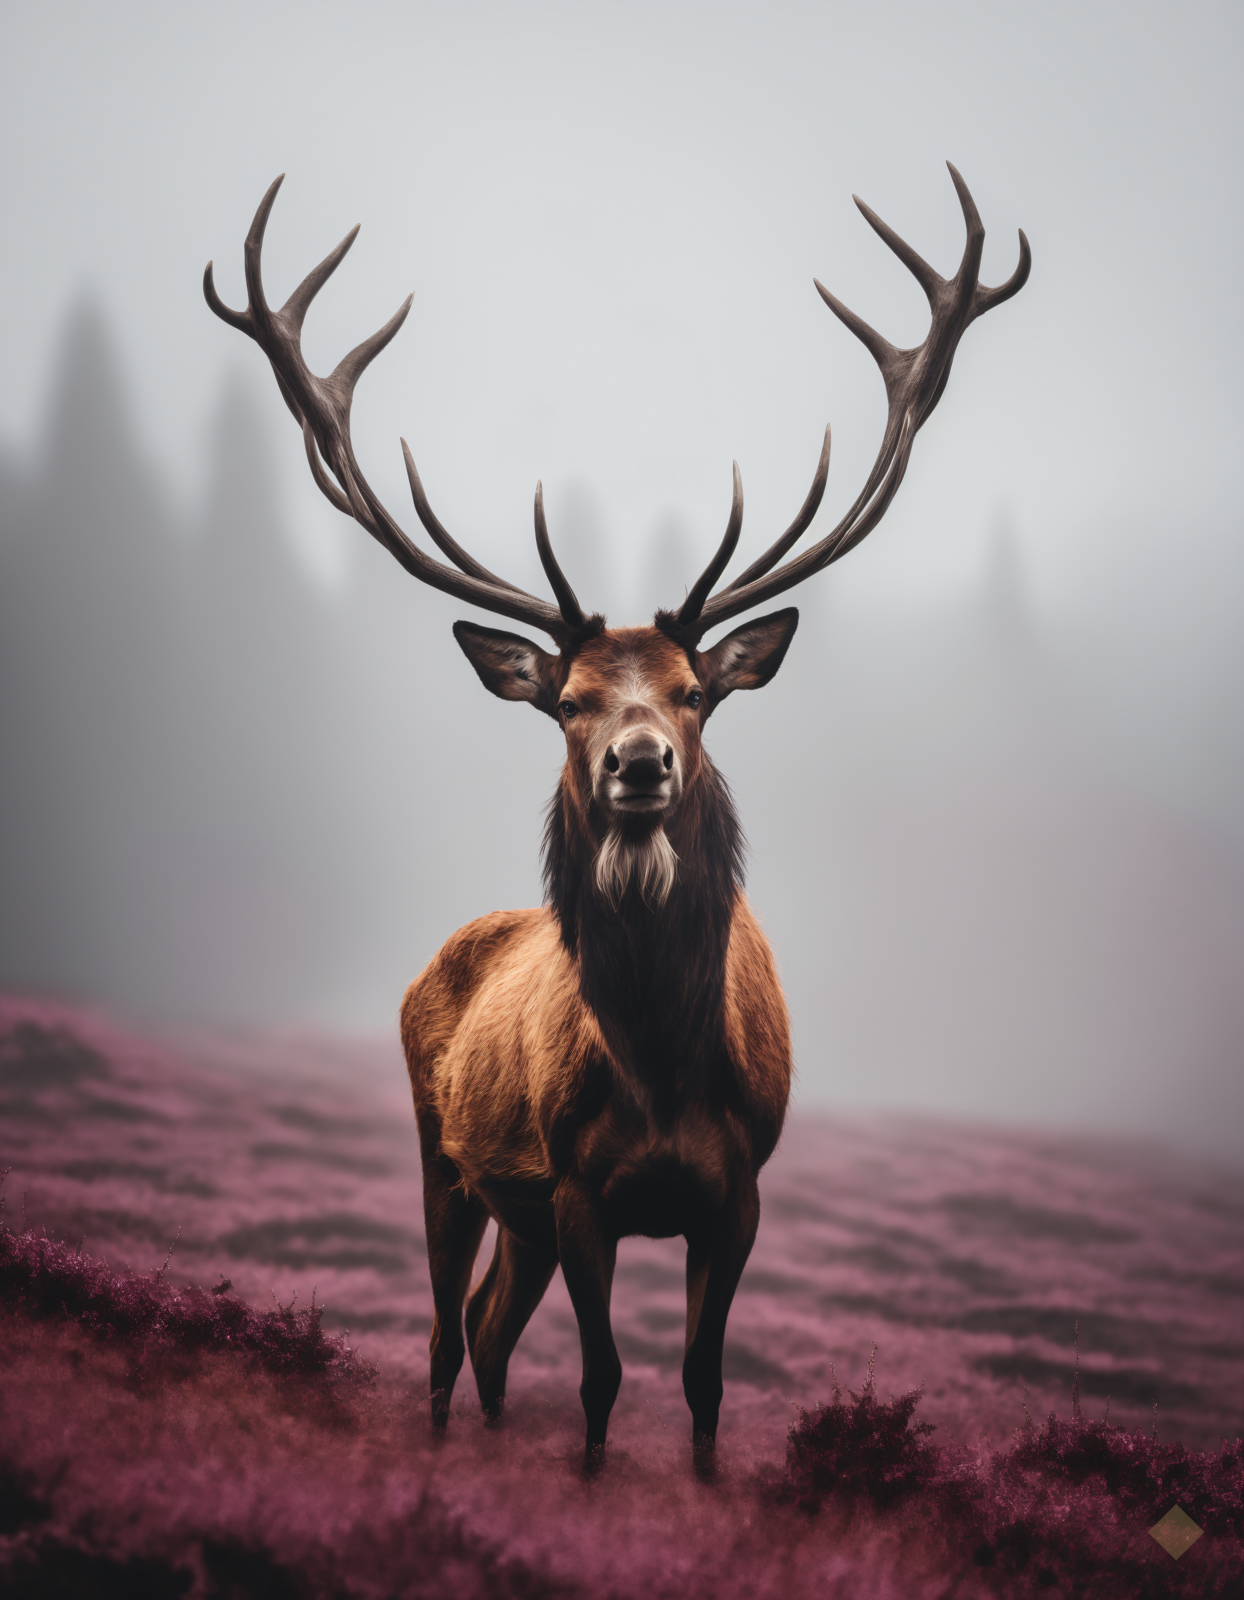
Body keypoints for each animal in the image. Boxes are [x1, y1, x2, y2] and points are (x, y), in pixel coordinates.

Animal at [204, 165, 1029, 1470]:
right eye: (569, 702)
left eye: (694, 693)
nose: (638, 763)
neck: (657, 1064)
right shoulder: (578, 1188)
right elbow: (599, 1378)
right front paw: (586, 1482)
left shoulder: (737, 1192)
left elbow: (699, 1380)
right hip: (446, 1157)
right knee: (444, 1332)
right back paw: (441, 1451)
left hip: (521, 1215)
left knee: (487, 1324)